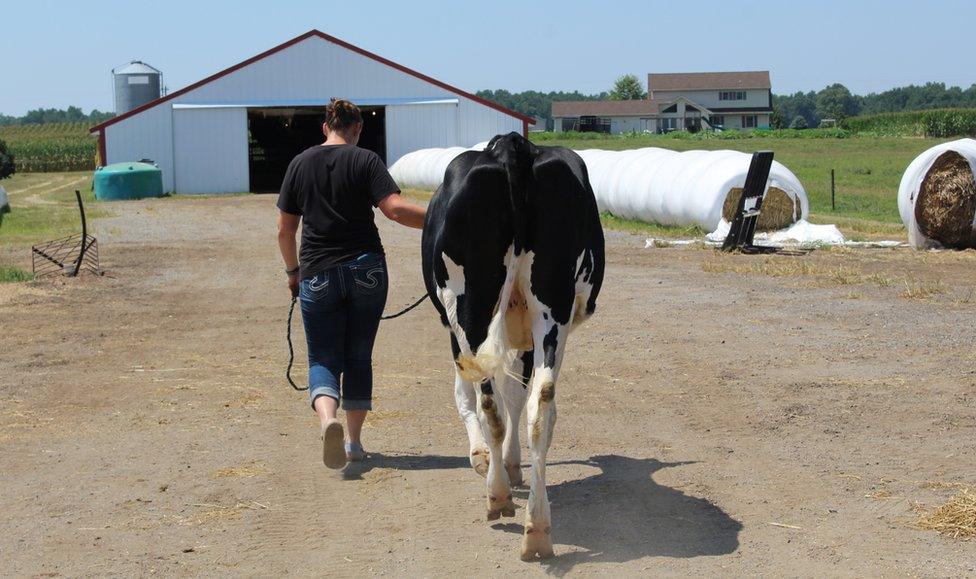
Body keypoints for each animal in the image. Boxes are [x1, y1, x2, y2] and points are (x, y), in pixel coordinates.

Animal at [420, 133, 604, 560]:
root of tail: (512, 148)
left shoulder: (456, 335)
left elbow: (468, 396)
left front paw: (488, 460)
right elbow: (519, 395)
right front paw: (509, 463)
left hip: (469, 308)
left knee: (491, 403)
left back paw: (499, 496)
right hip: (552, 311)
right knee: (541, 402)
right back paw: (537, 529)